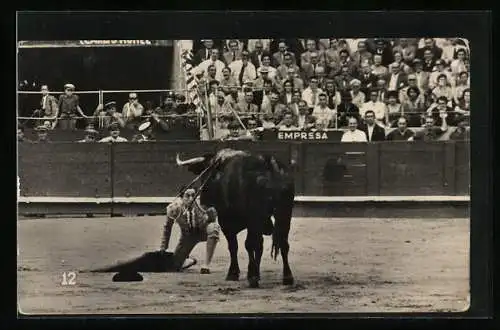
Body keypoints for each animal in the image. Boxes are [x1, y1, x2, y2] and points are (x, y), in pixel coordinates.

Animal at [176, 150, 294, 288]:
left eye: (206, 175)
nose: (204, 200)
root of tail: (270, 165)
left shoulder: (227, 222)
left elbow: (234, 246)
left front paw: (234, 274)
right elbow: (256, 246)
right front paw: (254, 273)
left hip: (256, 216)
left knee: (252, 243)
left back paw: (253, 278)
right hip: (285, 211)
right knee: (283, 243)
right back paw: (287, 277)